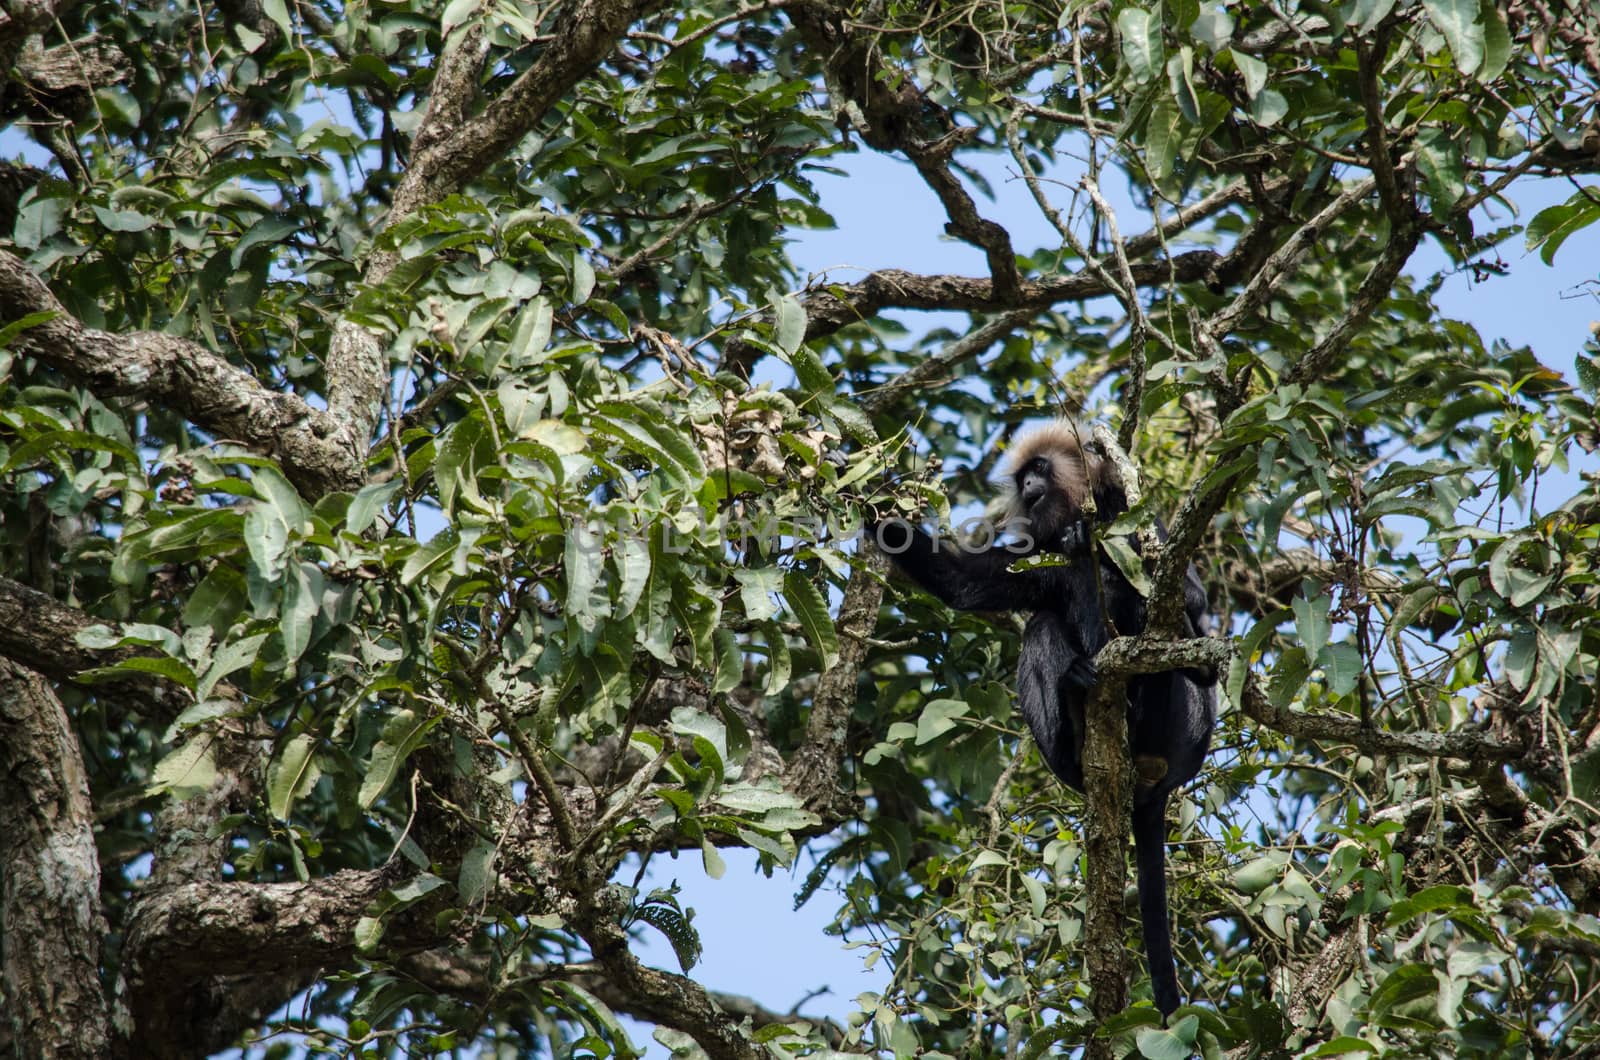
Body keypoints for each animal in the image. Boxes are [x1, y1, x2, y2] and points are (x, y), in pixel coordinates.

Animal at [870, 422, 1216, 1024]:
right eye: (1023, 476)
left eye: (1041, 470)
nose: (1029, 485)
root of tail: (1157, 785)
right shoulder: (1038, 552)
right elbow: (966, 584)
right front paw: (869, 505)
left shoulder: (1137, 520)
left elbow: (1188, 608)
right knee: (1045, 625)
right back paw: (1078, 701)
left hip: (1187, 724)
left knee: (1173, 648)